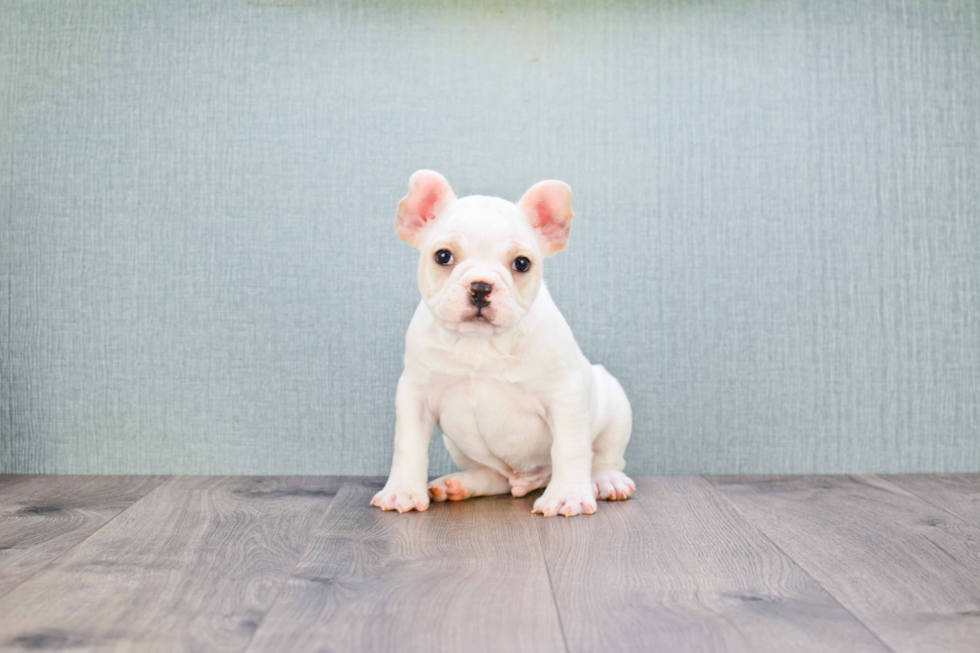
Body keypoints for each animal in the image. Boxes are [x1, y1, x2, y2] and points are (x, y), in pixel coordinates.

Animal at [370, 171, 636, 516]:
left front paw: (567, 496)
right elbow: (408, 446)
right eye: (443, 256)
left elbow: (570, 448)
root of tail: (526, 481)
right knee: (495, 478)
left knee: (605, 456)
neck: (480, 344)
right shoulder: (415, 396)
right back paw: (459, 485)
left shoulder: (564, 397)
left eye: (522, 263)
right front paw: (401, 490)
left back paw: (605, 481)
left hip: (615, 406)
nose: (481, 287)